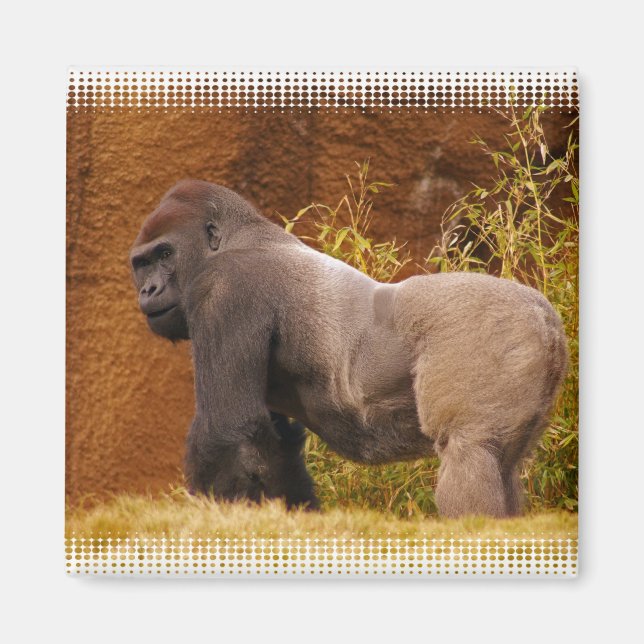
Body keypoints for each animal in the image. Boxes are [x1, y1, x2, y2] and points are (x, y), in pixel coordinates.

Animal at [130, 179, 568, 517]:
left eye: (165, 254)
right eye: (141, 264)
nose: (148, 290)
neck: (237, 238)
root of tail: (543, 315)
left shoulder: (224, 289)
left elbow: (228, 430)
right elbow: (274, 447)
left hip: (489, 328)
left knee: (471, 452)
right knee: (503, 464)